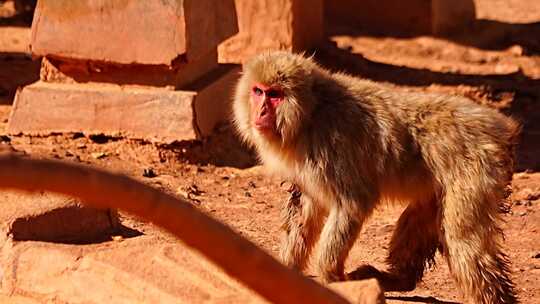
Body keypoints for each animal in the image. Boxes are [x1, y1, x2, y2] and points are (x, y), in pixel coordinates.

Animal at [232, 51, 520, 302]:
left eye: (275, 95)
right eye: (258, 91)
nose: (260, 112)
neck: (311, 114)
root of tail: (499, 127)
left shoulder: (332, 144)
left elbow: (354, 202)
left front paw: (330, 276)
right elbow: (303, 207)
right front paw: (282, 270)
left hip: (475, 168)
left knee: (463, 239)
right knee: (423, 216)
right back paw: (399, 279)